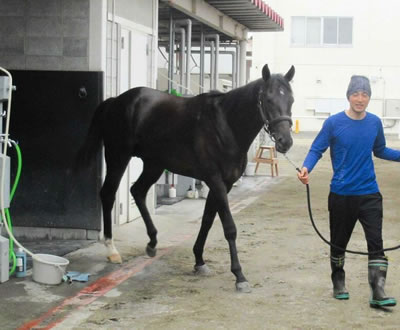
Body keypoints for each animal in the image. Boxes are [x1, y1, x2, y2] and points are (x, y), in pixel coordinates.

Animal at [78, 64, 296, 292]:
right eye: (268, 99)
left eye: (291, 100)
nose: (285, 142)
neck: (225, 125)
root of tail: (115, 101)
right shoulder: (215, 181)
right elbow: (229, 227)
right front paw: (239, 276)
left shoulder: (224, 184)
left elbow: (207, 220)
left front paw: (199, 261)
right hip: (118, 157)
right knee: (108, 194)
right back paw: (112, 250)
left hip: (154, 164)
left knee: (137, 191)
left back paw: (152, 243)